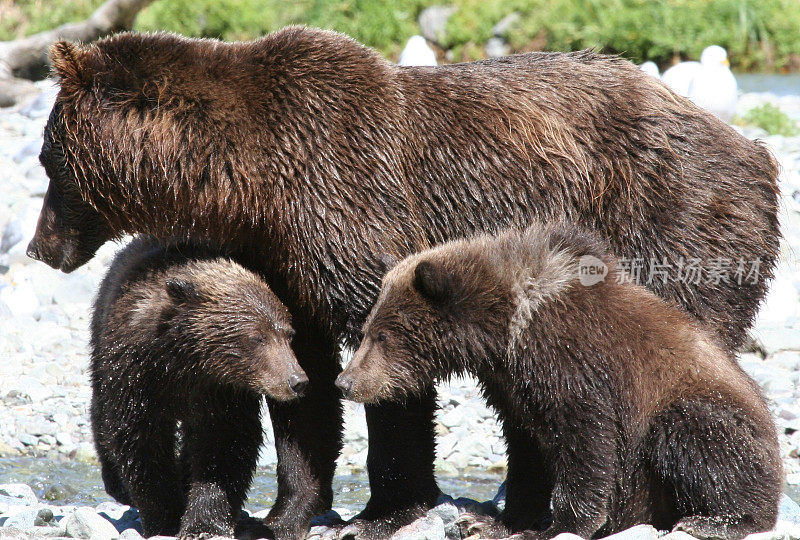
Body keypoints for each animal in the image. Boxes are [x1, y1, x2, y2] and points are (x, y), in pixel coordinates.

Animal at [91, 238, 306, 536]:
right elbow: (140, 440)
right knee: (101, 413)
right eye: (257, 338)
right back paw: (117, 483)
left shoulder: (221, 392)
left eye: (288, 334)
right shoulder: (137, 375)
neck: (185, 363)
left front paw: (204, 523)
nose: (296, 380)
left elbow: (224, 445)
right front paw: (164, 518)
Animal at [338, 221, 780, 536]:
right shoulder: (511, 383)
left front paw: (561, 524)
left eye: (382, 335)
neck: (506, 327)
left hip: (708, 414)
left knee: (700, 440)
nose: (345, 381)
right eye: (367, 329)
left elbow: (584, 437)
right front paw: (493, 521)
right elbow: (527, 445)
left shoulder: (568, 358)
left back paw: (716, 520)